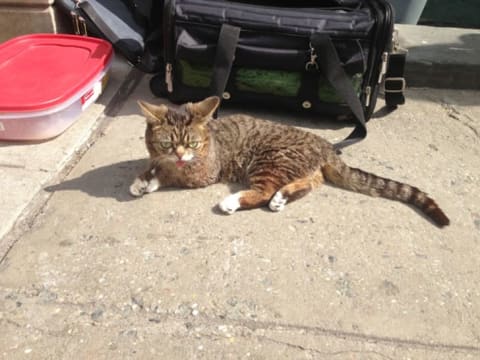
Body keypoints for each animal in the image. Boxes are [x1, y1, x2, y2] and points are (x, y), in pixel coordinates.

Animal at [128, 95, 450, 228]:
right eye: (168, 143)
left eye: (192, 144)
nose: (181, 154)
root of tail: (324, 144)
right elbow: (155, 166)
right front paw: (143, 178)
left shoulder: (202, 172)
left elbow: (173, 174)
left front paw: (154, 178)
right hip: (296, 166)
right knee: (312, 182)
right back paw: (283, 197)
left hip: (270, 160)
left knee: (264, 191)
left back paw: (235, 200)